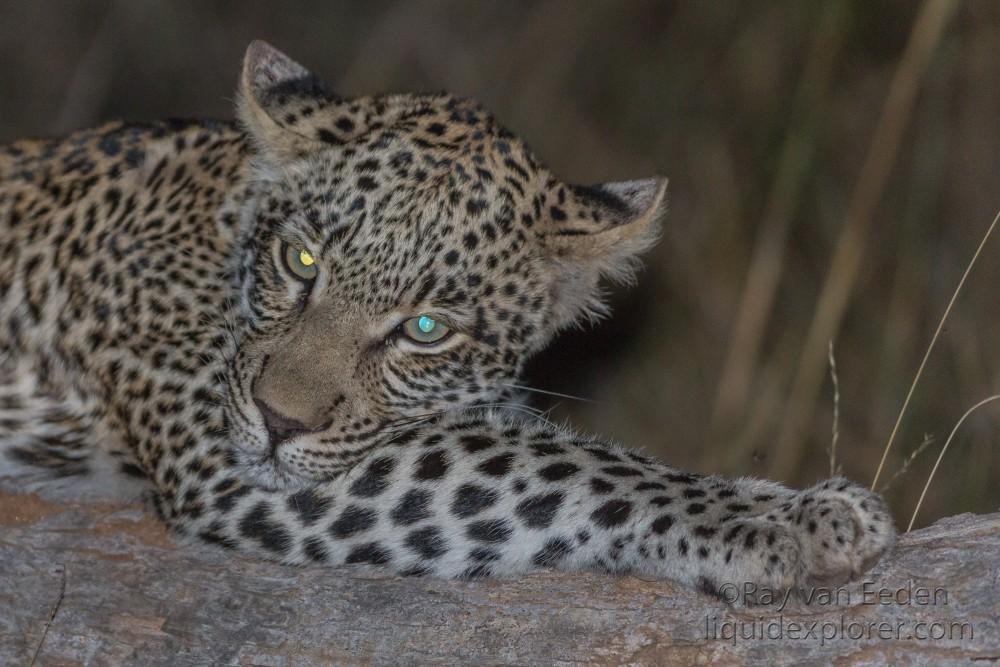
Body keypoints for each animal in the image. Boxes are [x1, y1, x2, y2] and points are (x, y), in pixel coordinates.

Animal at [0, 39, 896, 596]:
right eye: (303, 262)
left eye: (425, 329)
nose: (277, 422)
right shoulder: (225, 458)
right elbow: (570, 467)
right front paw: (787, 521)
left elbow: (551, 445)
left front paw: (785, 499)